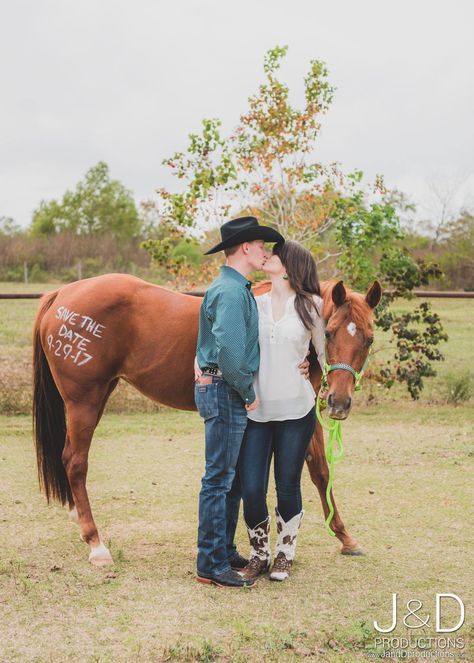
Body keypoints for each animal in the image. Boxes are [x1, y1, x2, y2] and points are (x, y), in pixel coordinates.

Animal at [32, 272, 382, 568]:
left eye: (369, 339)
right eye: (330, 332)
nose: (339, 402)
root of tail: (62, 293)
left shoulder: (301, 412)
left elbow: (321, 471)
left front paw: (345, 537)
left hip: (100, 394)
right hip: (84, 402)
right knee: (75, 461)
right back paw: (96, 543)